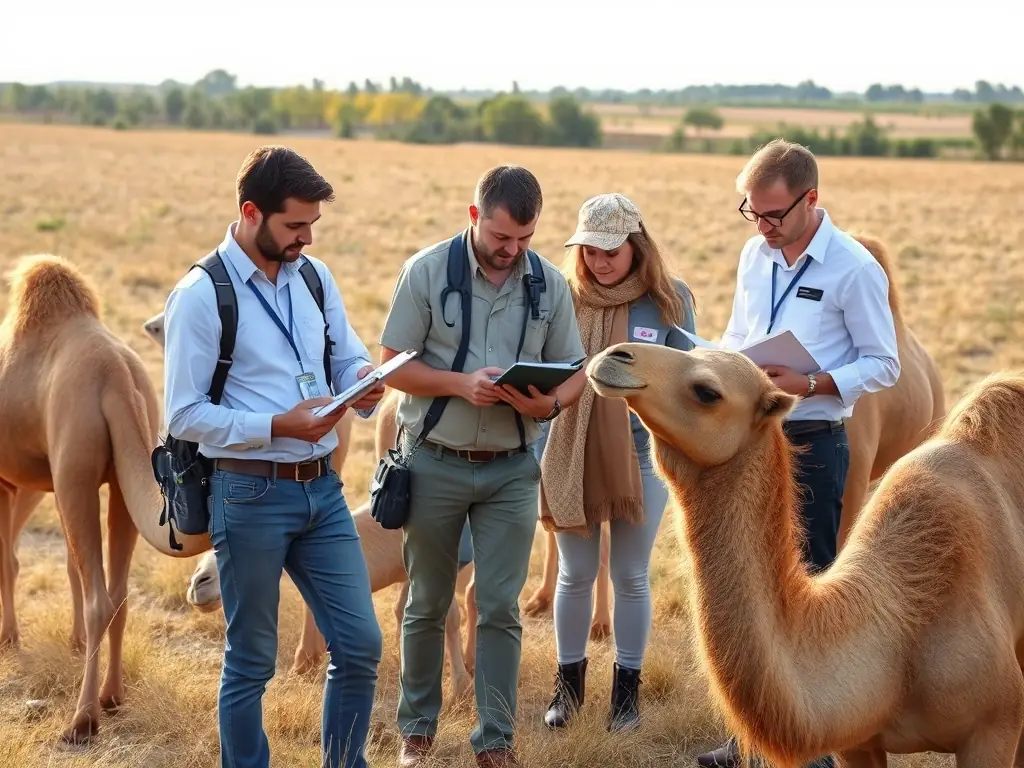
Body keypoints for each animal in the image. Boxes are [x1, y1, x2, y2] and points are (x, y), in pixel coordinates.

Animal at [0, 254, 212, 745]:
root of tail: (117, 378)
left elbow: (9, 559)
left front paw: (9, 640)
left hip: (72, 468)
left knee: (98, 594)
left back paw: (81, 720)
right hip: (117, 477)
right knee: (116, 593)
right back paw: (112, 696)